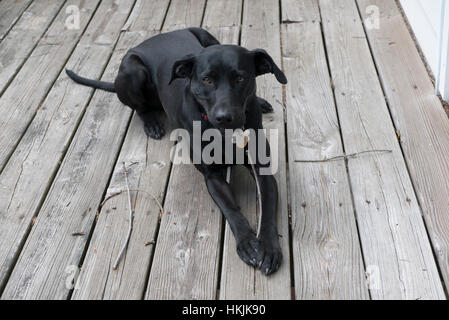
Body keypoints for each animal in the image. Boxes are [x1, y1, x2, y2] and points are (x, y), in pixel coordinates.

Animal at [65, 26, 288, 276]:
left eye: (241, 78)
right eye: (207, 79)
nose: (224, 117)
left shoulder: (263, 172)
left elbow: (267, 211)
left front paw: (269, 247)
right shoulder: (212, 177)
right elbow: (231, 209)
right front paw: (247, 241)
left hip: (207, 35)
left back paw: (261, 101)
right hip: (133, 72)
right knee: (140, 107)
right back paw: (151, 123)